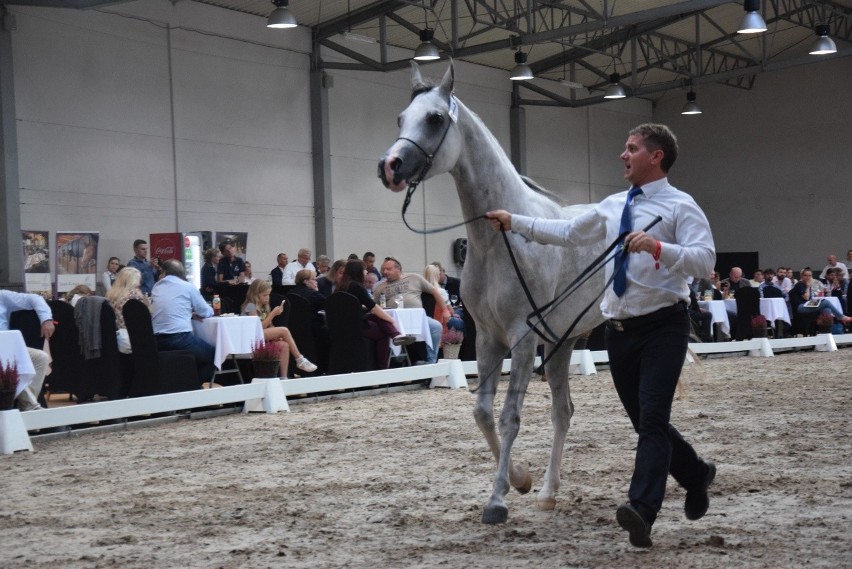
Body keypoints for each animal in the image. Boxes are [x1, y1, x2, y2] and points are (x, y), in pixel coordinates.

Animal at [380, 63, 604, 524]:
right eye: (400, 118)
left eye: (435, 119)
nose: (389, 166)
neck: (503, 236)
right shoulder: (486, 337)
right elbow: (483, 413)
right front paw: (520, 481)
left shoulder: (522, 338)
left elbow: (509, 417)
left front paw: (498, 501)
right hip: (563, 342)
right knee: (563, 412)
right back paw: (549, 492)